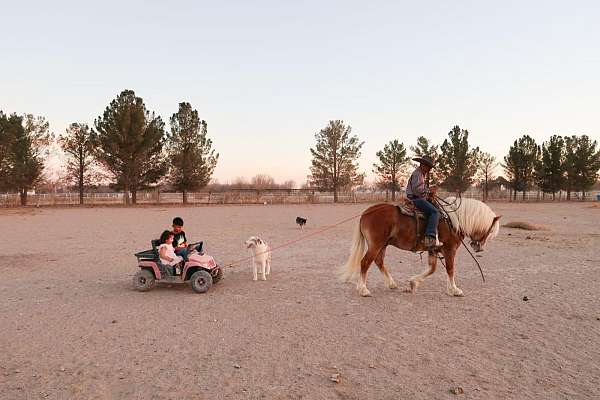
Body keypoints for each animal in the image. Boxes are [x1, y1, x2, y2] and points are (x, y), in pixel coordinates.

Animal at [340, 197, 500, 296]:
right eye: (491, 230)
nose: (479, 248)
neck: (454, 220)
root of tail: (367, 212)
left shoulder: (433, 249)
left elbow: (432, 269)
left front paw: (413, 283)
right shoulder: (450, 250)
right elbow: (450, 269)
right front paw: (454, 290)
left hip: (383, 245)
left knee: (378, 261)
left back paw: (391, 284)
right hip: (376, 244)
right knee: (365, 262)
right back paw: (363, 289)